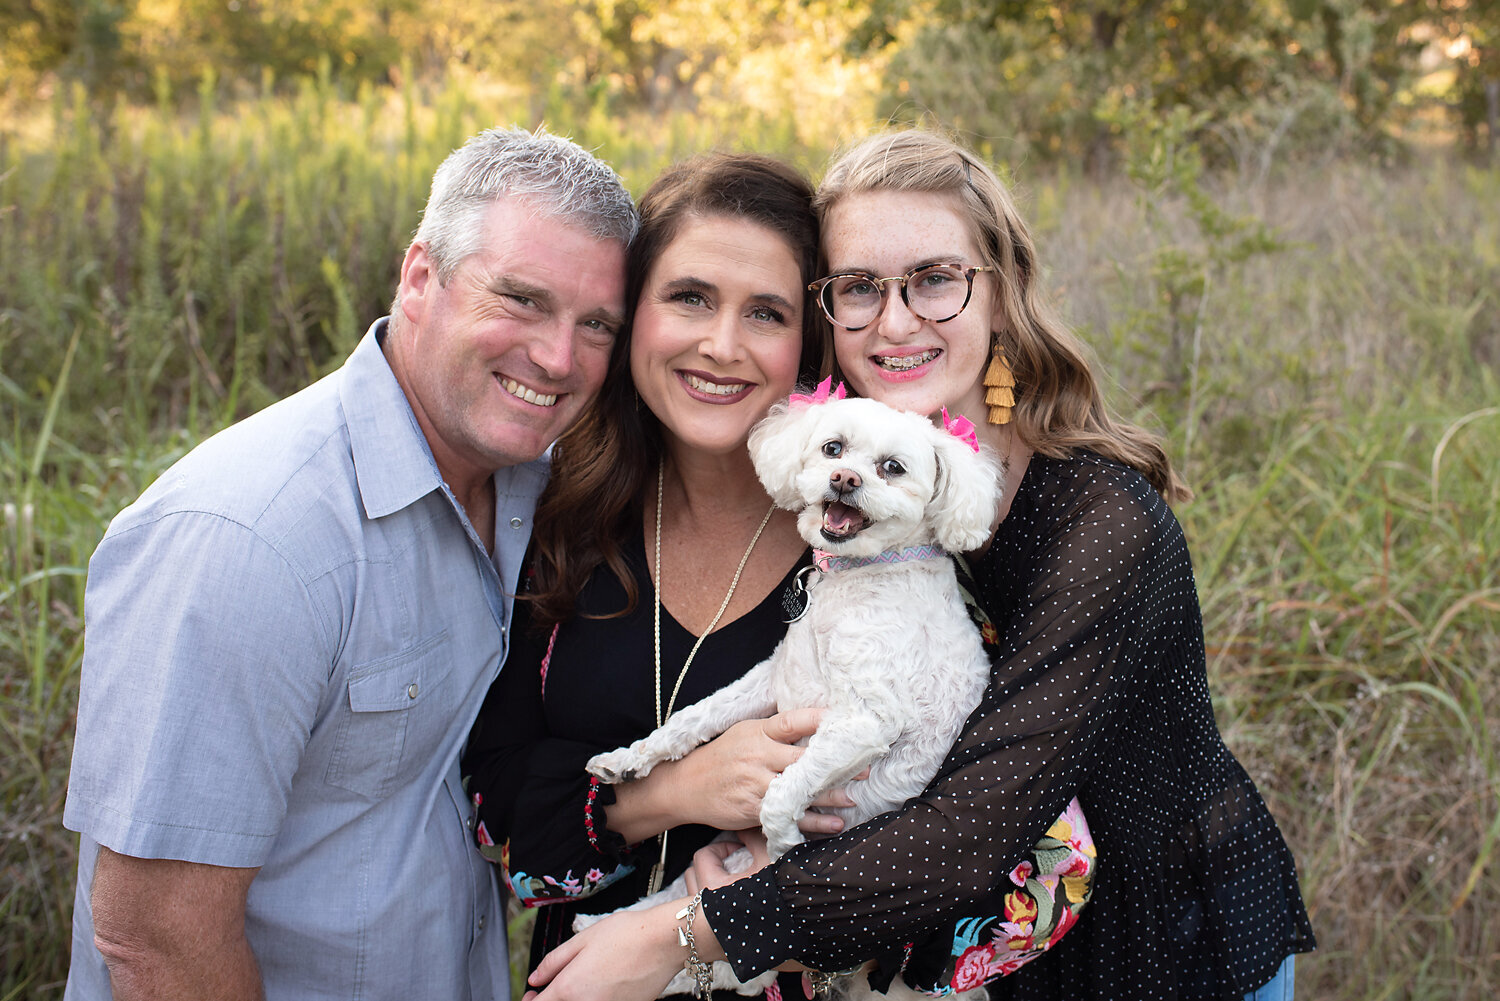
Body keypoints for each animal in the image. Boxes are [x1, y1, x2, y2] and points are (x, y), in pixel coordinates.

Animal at [588, 393, 1008, 1001]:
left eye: (893, 468)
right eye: (833, 447)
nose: (844, 479)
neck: (860, 579)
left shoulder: (864, 721)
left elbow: (782, 791)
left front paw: (785, 841)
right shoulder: (773, 679)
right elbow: (693, 718)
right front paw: (629, 759)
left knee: (726, 967)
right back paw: (590, 924)